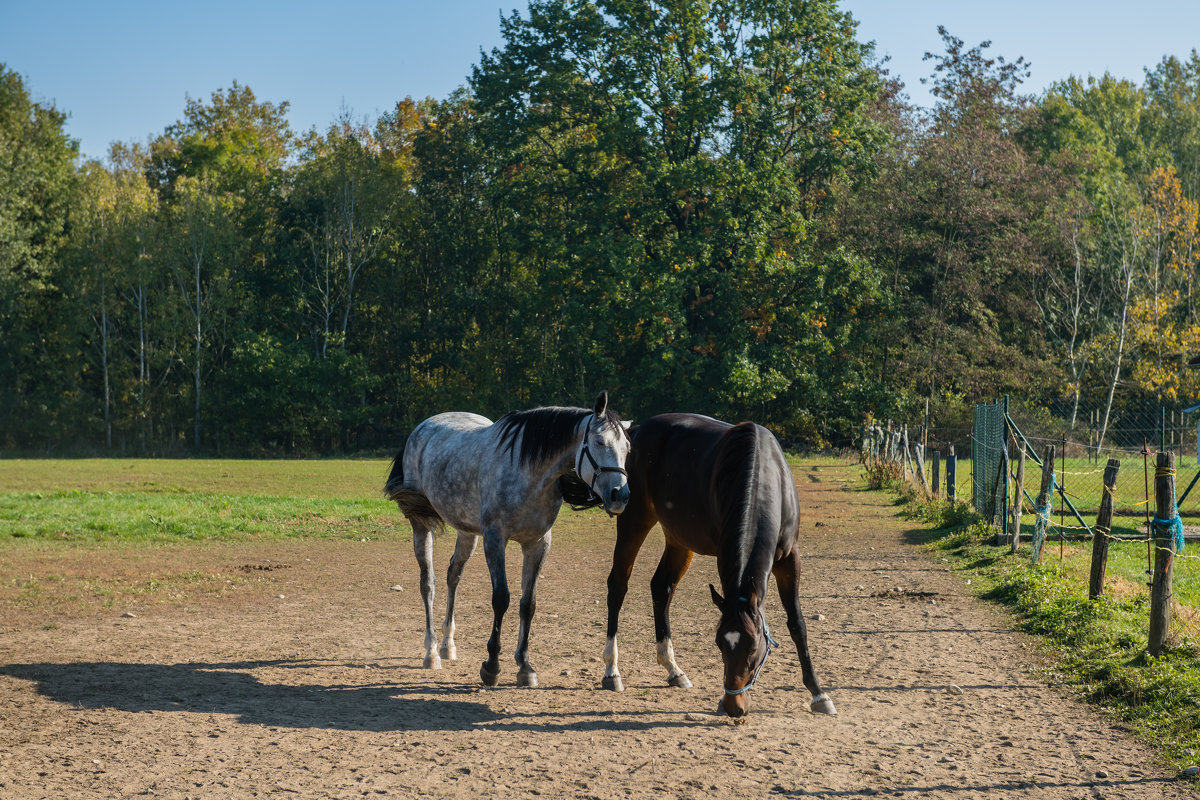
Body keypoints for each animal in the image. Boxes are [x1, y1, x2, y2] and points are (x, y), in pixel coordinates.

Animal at [386, 391, 633, 686]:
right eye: (599, 442)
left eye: (627, 448)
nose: (620, 496)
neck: (530, 473)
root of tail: (421, 428)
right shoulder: (495, 540)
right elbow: (501, 598)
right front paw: (491, 666)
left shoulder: (538, 544)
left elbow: (528, 604)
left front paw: (525, 666)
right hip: (421, 525)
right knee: (428, 583)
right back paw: (432, 651)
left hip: (467, 532)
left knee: (453, 575)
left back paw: (448, 645)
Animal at [600, 412, 835, 719]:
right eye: (719, 644)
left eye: (754, 647)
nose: (735, 707)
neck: (764, 476)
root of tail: (638, 431)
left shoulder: (789, 560)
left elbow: (797, 624)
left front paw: (818, 694)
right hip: (634, 521)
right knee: (618, 586)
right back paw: (612, 671)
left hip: (678, 539)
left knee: (661, 587)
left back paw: (673, 669)